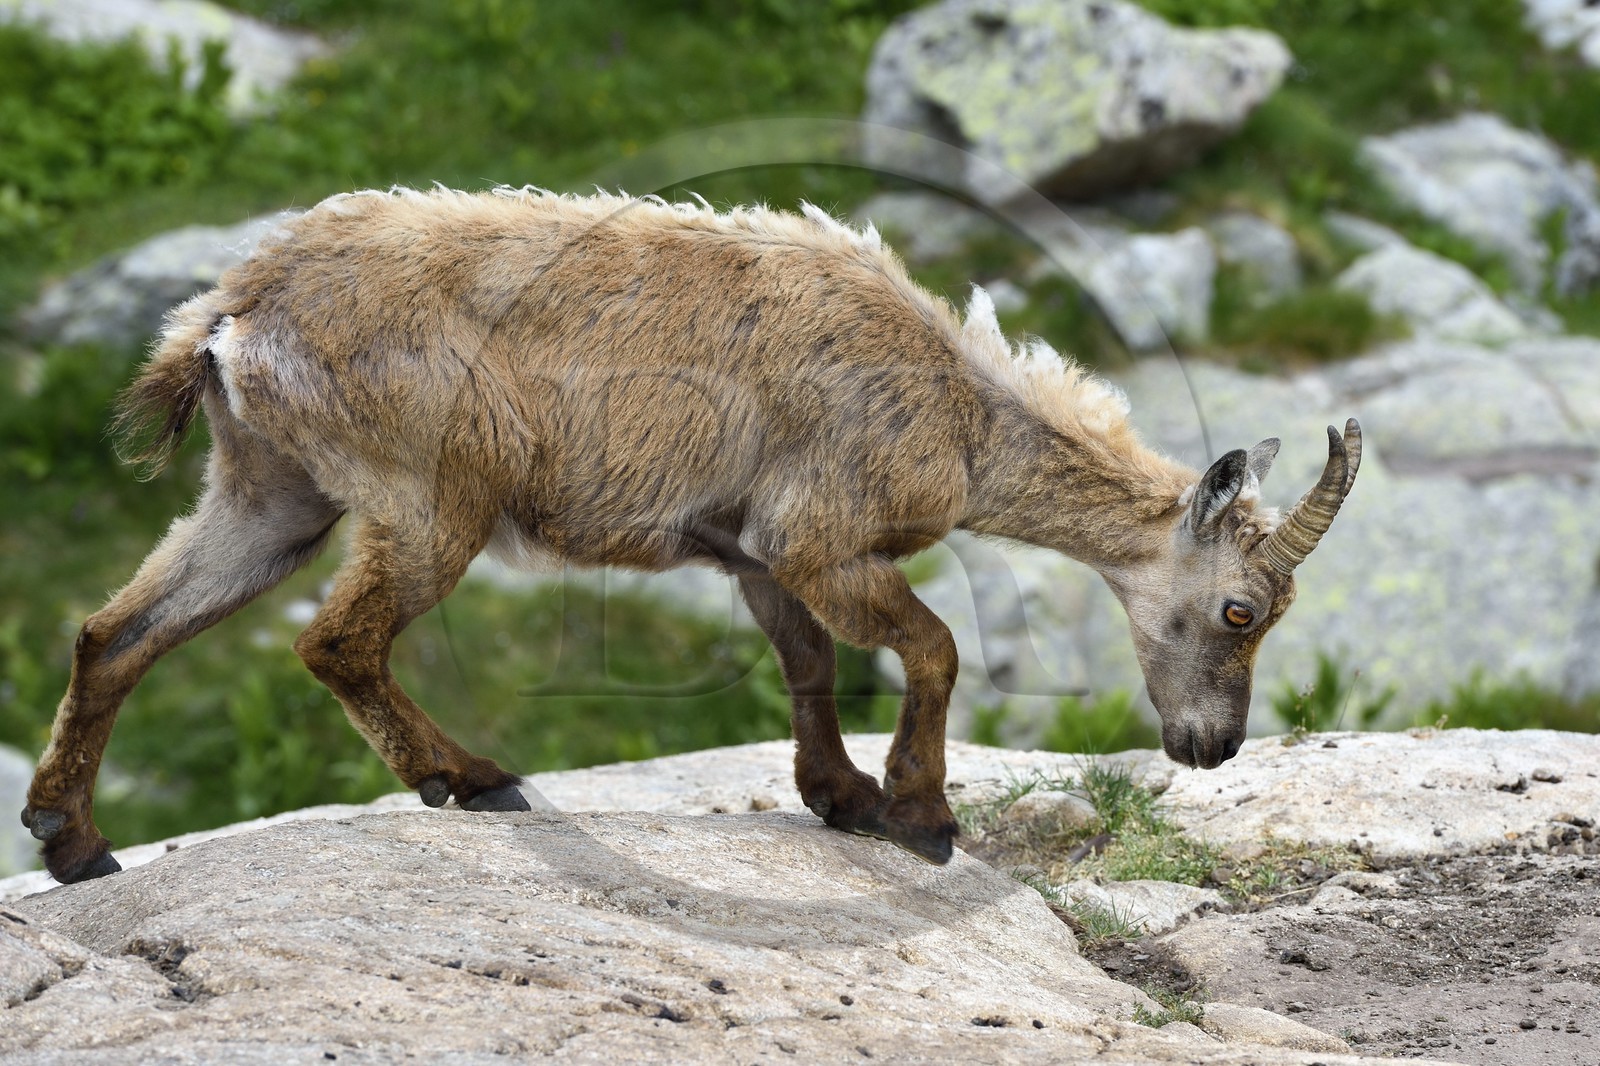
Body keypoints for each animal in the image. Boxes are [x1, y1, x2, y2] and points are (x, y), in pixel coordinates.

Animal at [22, 187, 1360, 883]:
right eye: (1238, 607)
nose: (1210, 748)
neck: (959, 410)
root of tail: (230, 315)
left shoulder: (757, 550)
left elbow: (808, 662)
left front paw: (839, 796)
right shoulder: (823, 537)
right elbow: (929, 649)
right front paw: (921, 815)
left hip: (270, 491)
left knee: (114, 632)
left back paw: (73, 841)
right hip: (428, 496)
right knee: (336, 642)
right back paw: (473, 778)